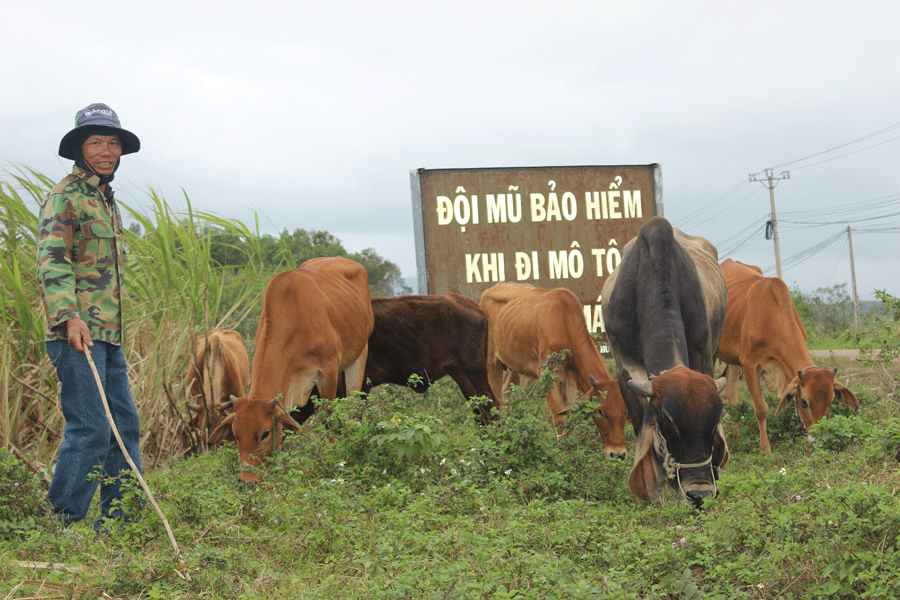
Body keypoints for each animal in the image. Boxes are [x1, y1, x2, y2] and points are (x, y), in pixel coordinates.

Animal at [209, 255, 374, 480]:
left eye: (265, 433)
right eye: (235, 434)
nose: (248, 480)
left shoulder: (328, 371)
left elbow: (328, 418)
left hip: (360, 353)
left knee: (353, 402)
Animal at [478, 282, 624, 460]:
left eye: (626, 412)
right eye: (600, 411)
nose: (618, 454)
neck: (565, 324)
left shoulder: (568, 379)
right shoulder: (548, 376)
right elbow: (560, 418)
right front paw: (563, 457)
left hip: (517, 368)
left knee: (507, 395)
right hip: (492, 363)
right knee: (495, 401)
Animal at [596, 216, 732, 506]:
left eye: (714, 421)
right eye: (669, 423)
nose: (700, 494)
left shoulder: (704, 356)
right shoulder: (624, 368)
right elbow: (640, 426)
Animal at [716, 255, 856, 452]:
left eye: (831, 401)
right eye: (804, 401)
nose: (816, 442)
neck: (772, 318)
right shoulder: (749, 363)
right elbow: (761, 409)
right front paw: (765, 449)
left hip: (732, 361)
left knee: (732, 394)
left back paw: (736, 435)